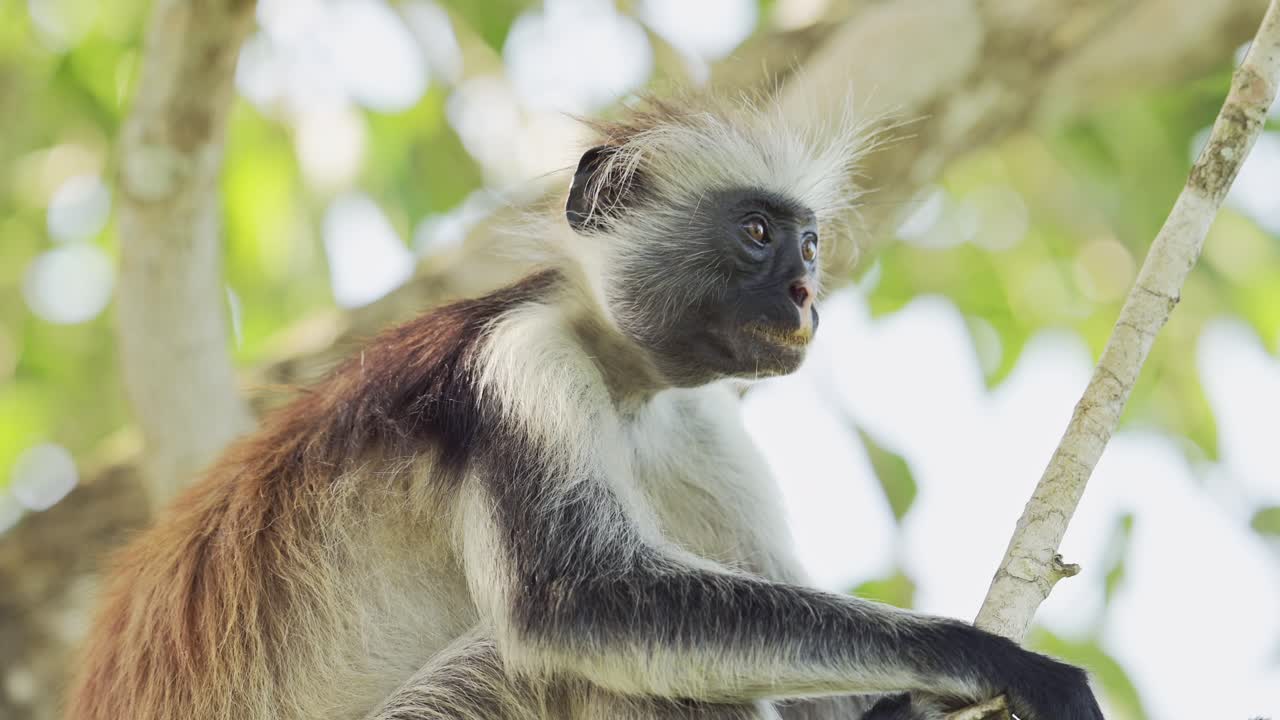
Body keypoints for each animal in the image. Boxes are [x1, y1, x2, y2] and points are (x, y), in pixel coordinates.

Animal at [65, 93, 1104, 720]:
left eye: (807, 243)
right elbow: (575, 605)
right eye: (756, 232)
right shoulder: (523, 364)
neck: (623, 380)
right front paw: (996, 661)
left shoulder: (697, 424)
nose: (807, 294)